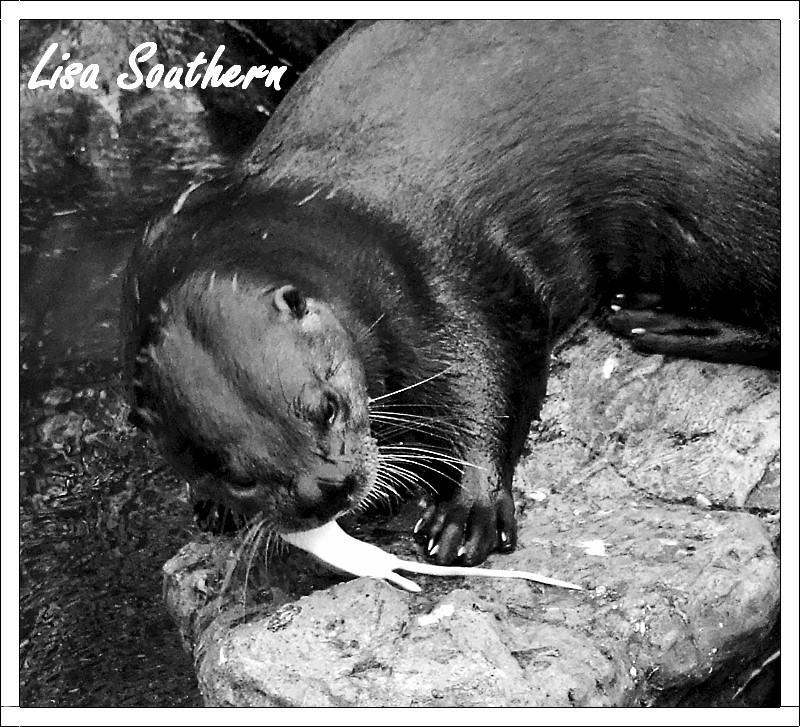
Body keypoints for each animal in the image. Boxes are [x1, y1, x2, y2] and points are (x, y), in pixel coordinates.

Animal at [122, 20, 779, 567]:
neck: (314, 217)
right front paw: (211, 506)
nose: (327, 488)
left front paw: (468, 509)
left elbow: (487, 372)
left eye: (326, 406)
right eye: (234, 474)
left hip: (726, 214)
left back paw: (666, 322)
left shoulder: (430, 266)